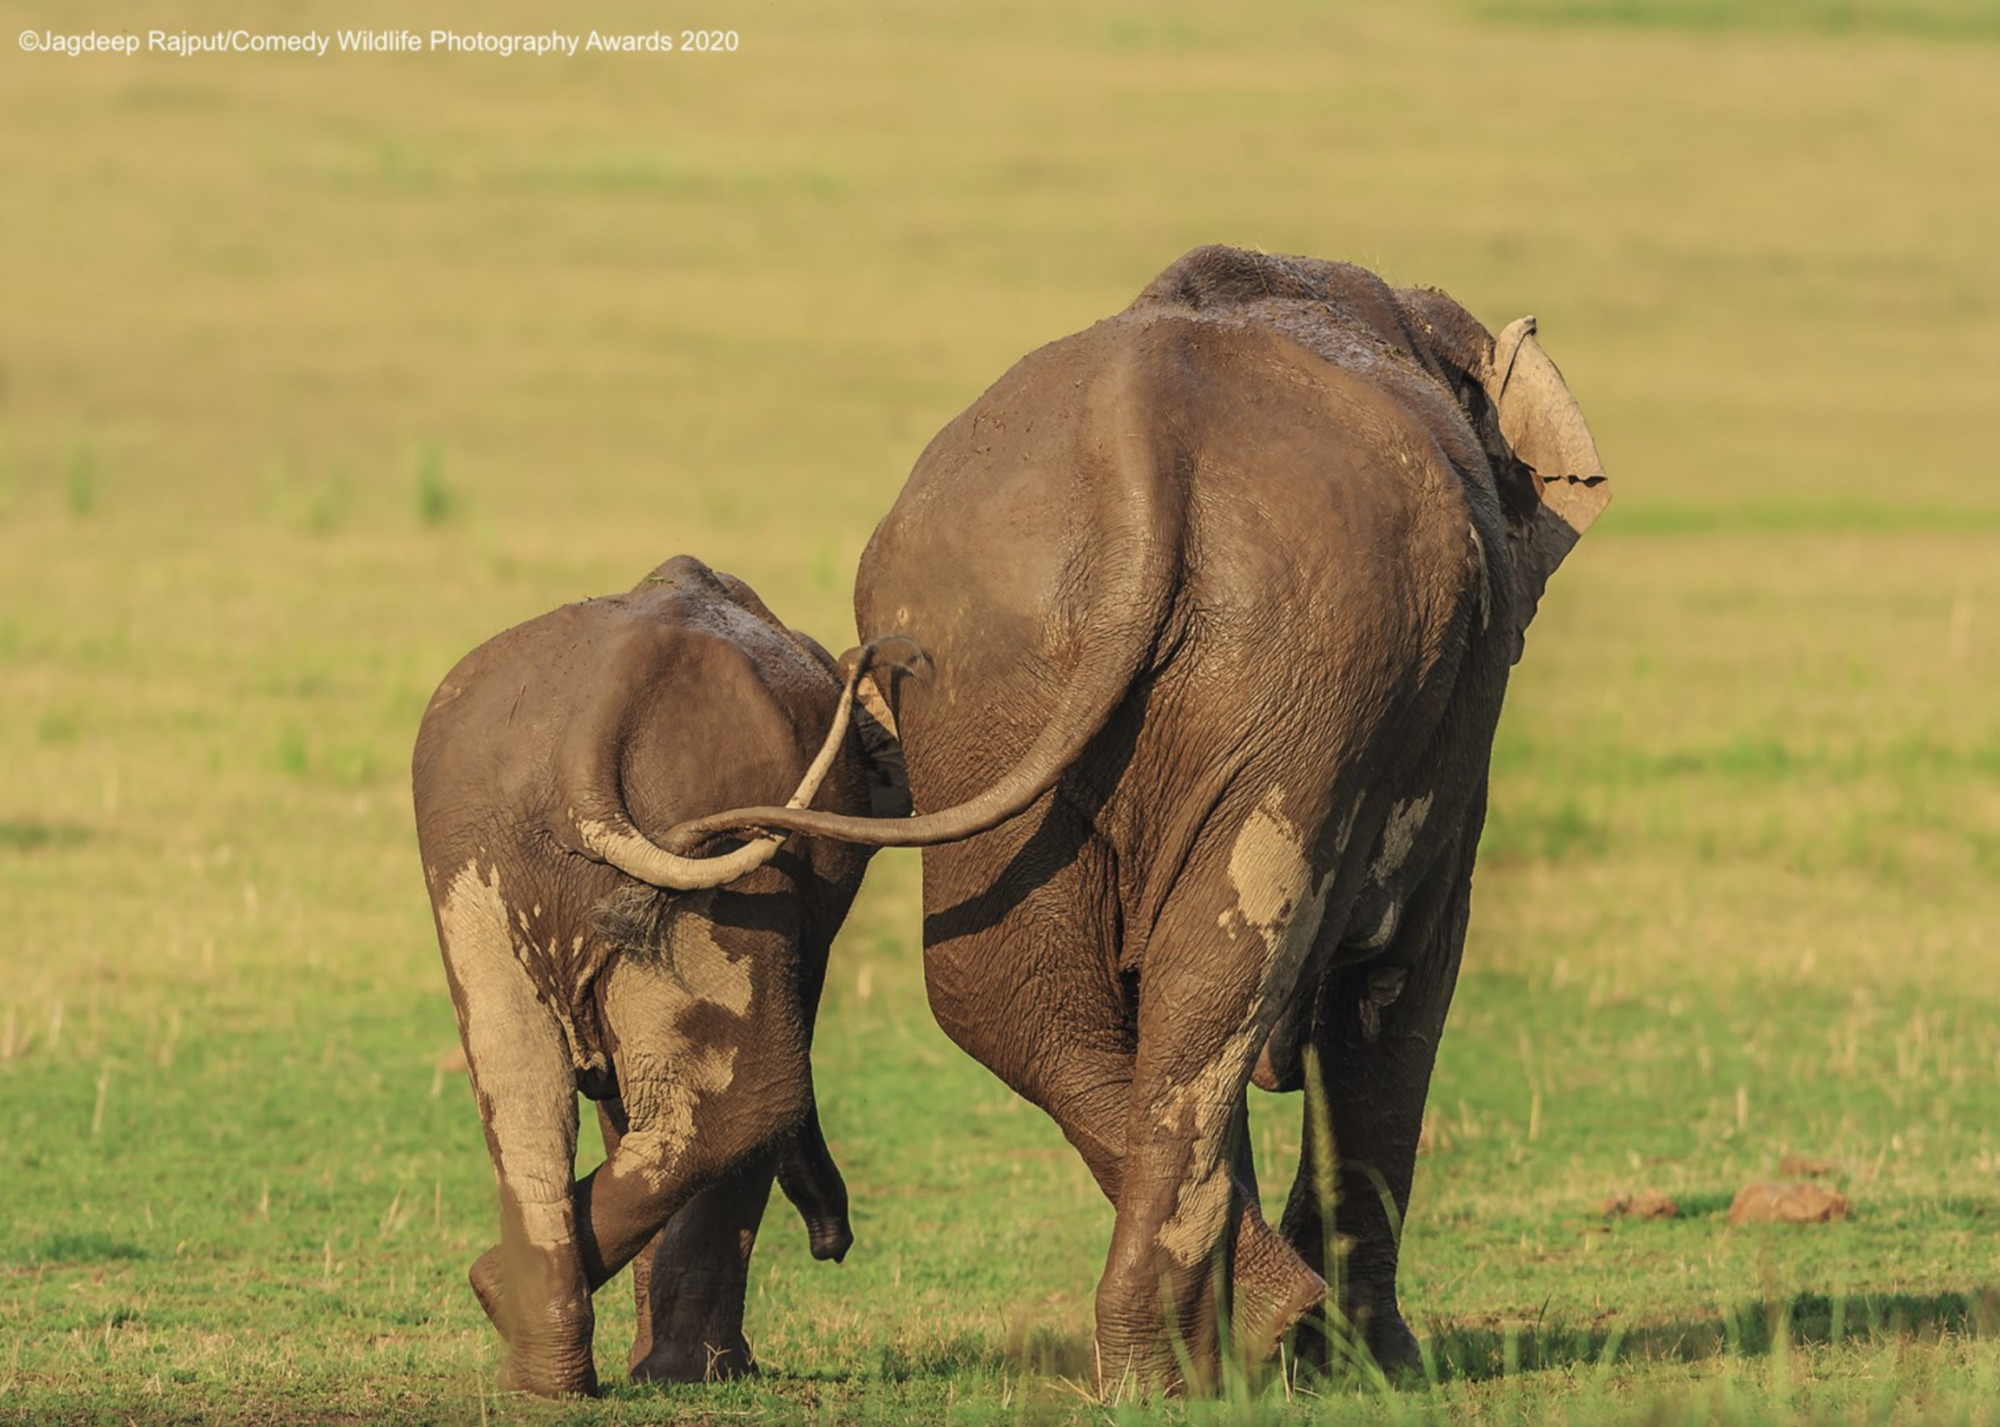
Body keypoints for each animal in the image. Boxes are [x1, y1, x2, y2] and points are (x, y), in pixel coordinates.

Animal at [414, 551, 916, 1391]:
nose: (833, 1242)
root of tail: (600, 714)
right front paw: (700, 1377)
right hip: (720, 843)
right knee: (752, 1101)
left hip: (471, 841)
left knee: (524, 1091)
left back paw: (532, 1360)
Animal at [672, 247, 1608, 1391]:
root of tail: (1136, 448)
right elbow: (1403, 974)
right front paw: (1379, 1368)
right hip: (1294, 666)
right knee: (1222, 967)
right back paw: (1243, 1335)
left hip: (989, 678)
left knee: (1014, 996)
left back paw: (1177, 1361)